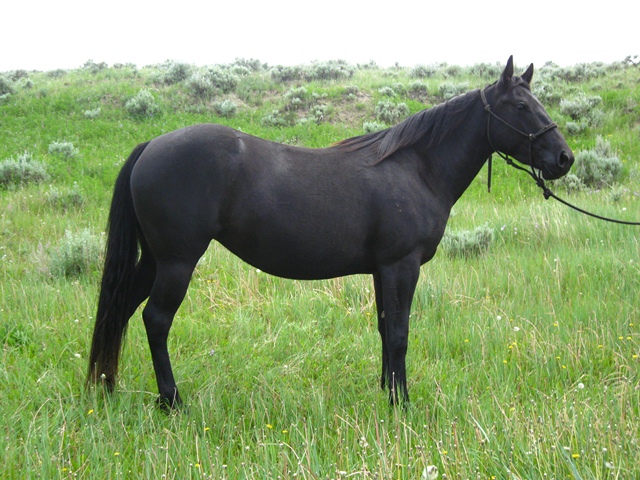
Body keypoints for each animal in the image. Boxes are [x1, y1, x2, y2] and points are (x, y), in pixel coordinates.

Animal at [87, 57, 574, 408]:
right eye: (522, 107)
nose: (564, 158)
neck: (416, 168)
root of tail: (151, 145)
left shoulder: (381, 270)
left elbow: (384, 329)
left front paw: (387, 392)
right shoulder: (402, 266)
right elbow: (400, 333)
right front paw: (402, 403)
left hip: (154, 261)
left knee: (120, 311)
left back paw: (108, 387)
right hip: (176, 262)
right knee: (156, 320)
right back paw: (172, 401)